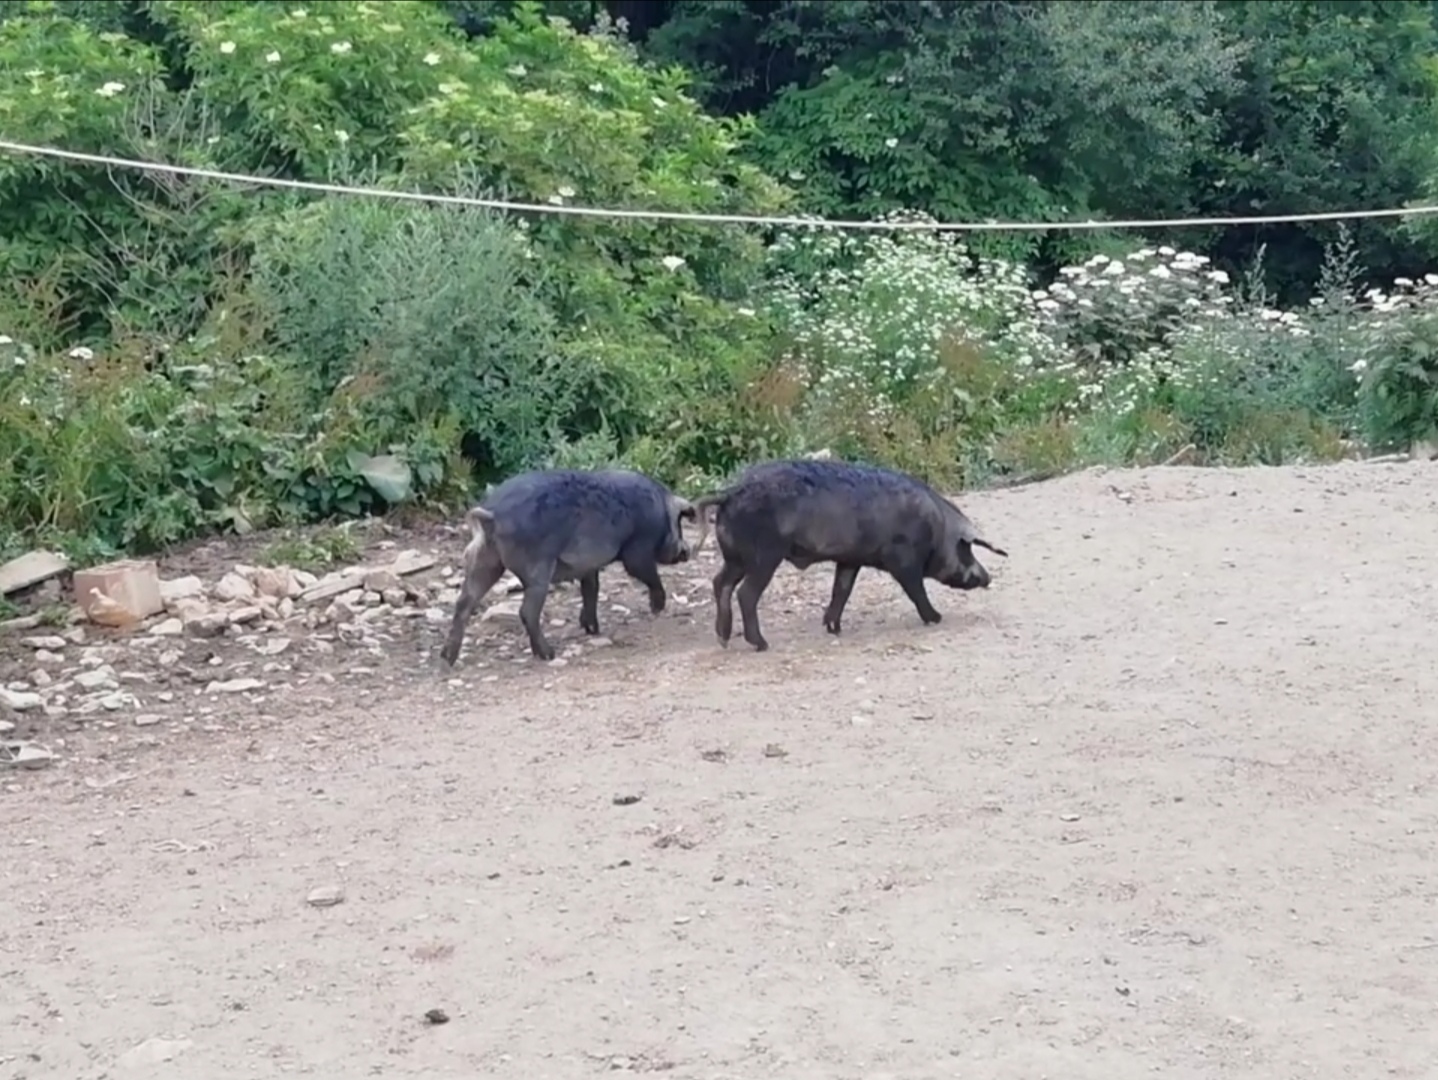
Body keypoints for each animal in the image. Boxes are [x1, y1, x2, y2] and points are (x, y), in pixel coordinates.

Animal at [439, 469, 697, 665]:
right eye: (679, 524)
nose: (687, 551)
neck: (660, 511)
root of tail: (492, 513)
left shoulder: (589, 566)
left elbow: (591, 589)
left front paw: (592, 629)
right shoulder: (637, 550)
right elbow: (646, 573)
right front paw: (657, 608)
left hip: (485, 559)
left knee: (464, 602)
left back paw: (447, 658)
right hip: (537, 568)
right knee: (526, 611)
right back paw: (548, 654)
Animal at [689, 458, 1006, 652]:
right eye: (966, 550)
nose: (988, 578)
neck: (936, 530)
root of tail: (730, 493)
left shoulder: (850, 560)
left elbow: (841, 590)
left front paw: (833, 628)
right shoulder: (902, 560)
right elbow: (915, 590)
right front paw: (937, 618)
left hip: (735, 556)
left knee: (720, 583)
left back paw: (723, 639)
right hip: (764, 555)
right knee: (745, 593)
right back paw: (761, 644)